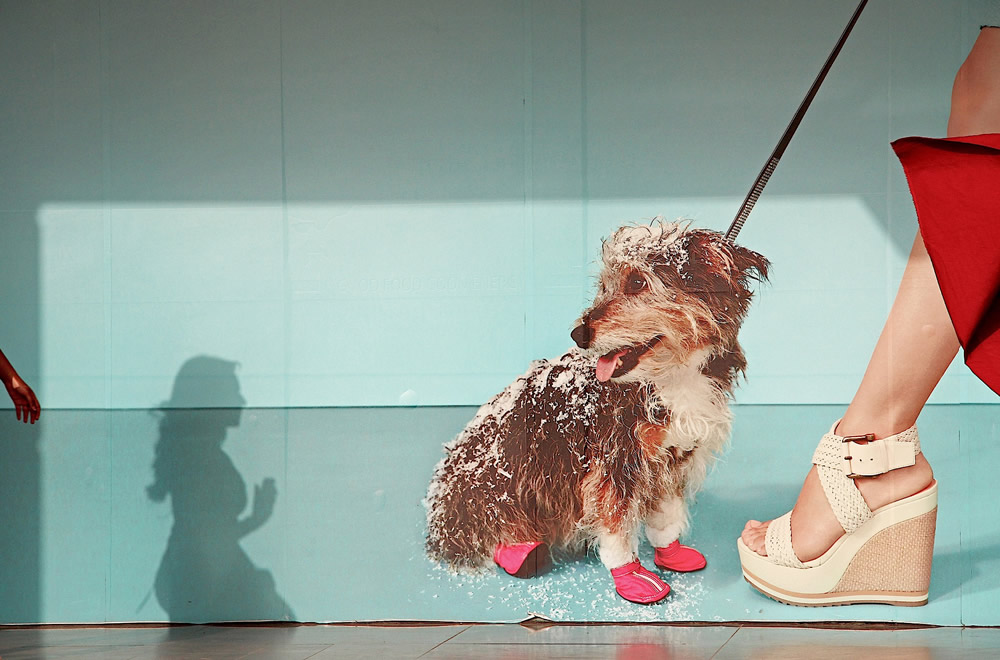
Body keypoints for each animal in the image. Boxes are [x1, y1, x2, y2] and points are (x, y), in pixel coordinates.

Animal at [422, 220, 764, 604]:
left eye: (637, 282)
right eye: (604, 286)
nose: (578, 334)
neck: (671, 377)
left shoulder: (668, 458)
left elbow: (664, 515)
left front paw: (670, 552)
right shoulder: (612, 465)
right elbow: (614, 527)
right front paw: (631, 577)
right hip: (499, 487)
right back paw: (523, 552)